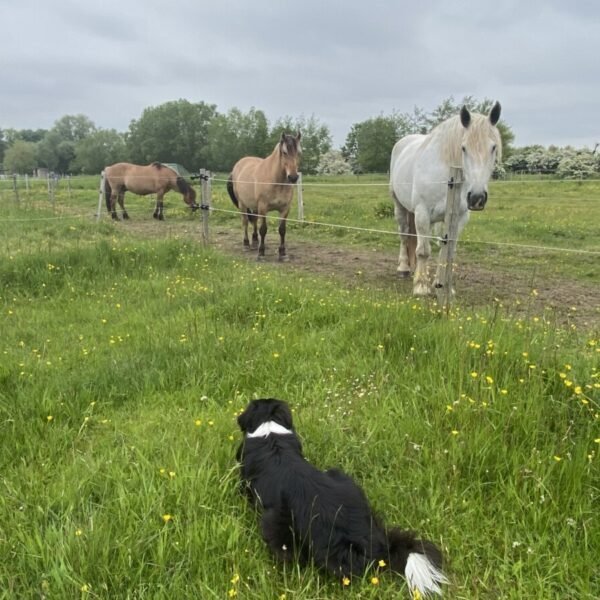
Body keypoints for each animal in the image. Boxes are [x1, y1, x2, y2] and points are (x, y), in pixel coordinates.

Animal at [390, 102, 502, 296]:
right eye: (463, 148)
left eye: (493, 147)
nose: (477, 197)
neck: (448, 178)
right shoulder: (422, 212)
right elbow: (423, 251)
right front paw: (421, 286)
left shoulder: (458, 218)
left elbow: (448, 250)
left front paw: (441, 286)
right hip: (400, 206)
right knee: (404, 235)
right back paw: (404, 268)